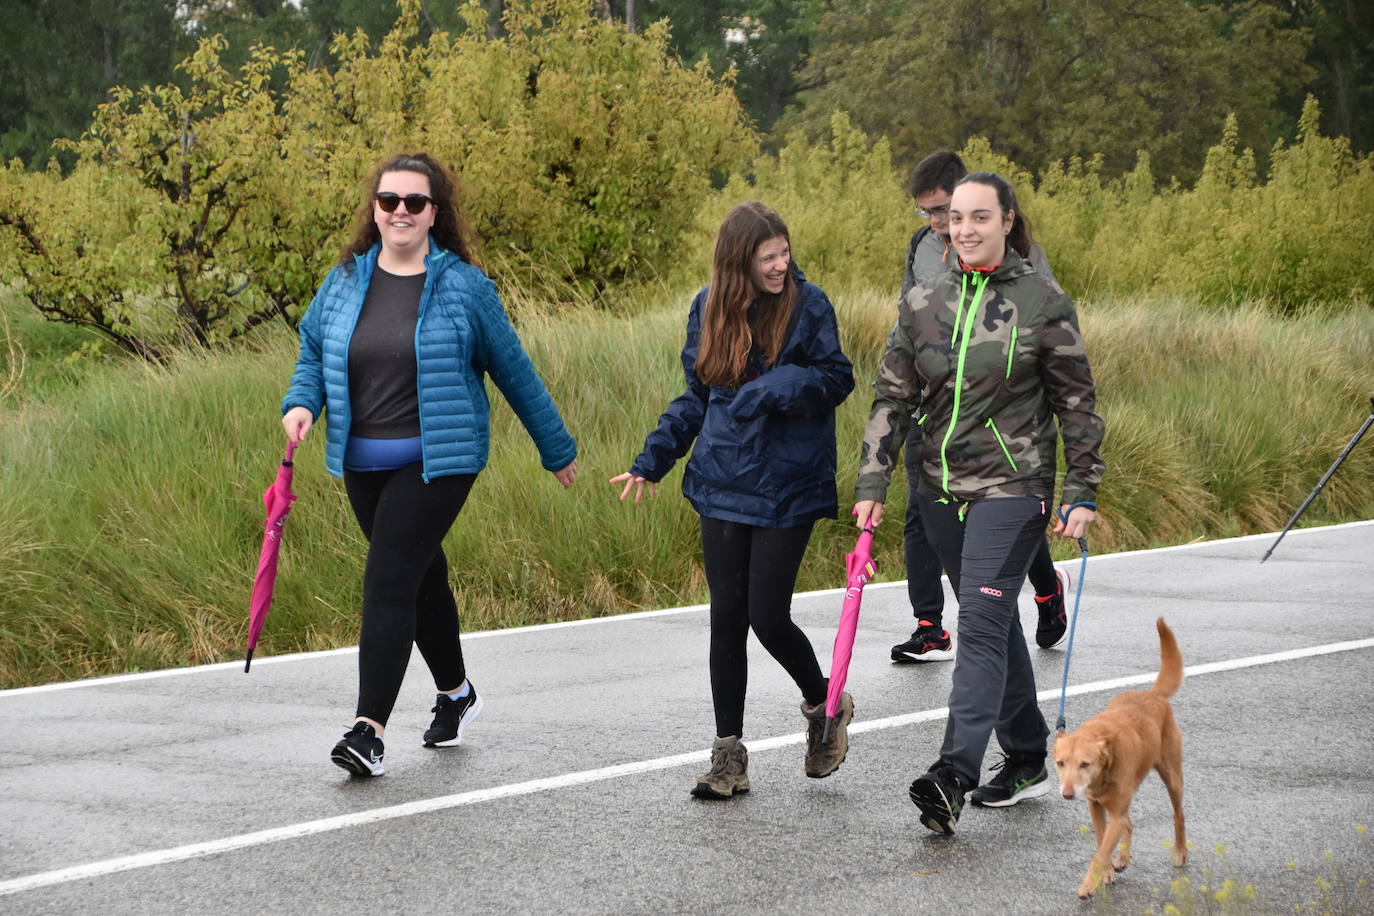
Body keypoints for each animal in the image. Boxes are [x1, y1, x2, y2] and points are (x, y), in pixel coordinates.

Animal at [1055, 620, 1187, 900]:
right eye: (1060, 763)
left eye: (1085, 764)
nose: (1068, 794)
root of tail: (1153, 695)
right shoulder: (1096, 806)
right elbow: (1101, 842)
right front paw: (1106, 873)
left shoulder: (1114, 813)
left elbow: (1100, 852)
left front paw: (1087, 886)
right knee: (1130, 823)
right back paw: (1123, 859)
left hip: (1172, 777)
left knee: (1178, 815)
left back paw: (1180, 852)